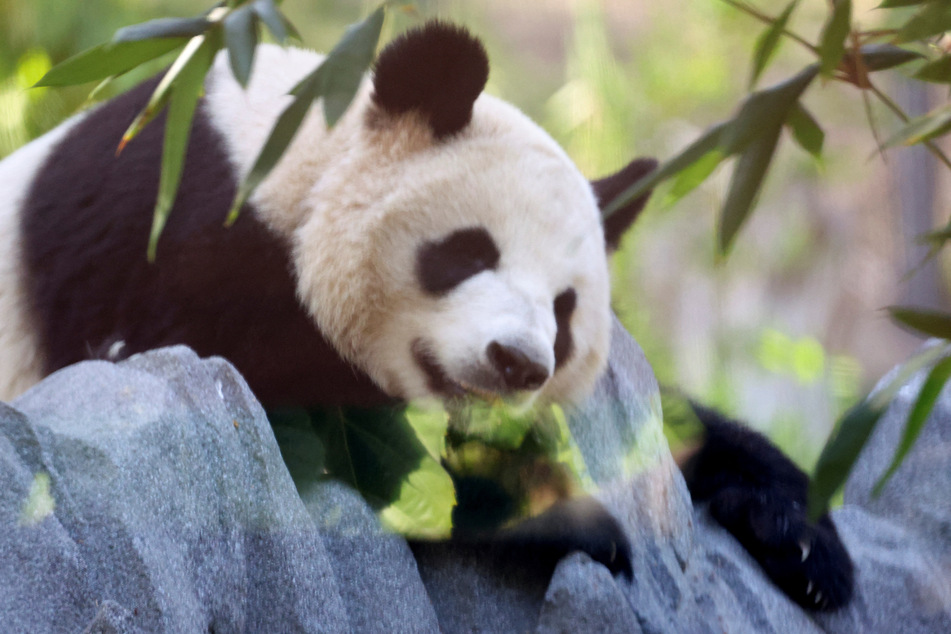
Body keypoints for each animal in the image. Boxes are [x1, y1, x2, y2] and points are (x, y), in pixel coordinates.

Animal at [0, 22, 856, 608]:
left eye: (565, 309)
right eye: (468, 252)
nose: (518, 363)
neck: (296, 151)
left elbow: (678, 428)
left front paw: (802, 541)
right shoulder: (158, 223)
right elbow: (259, 389)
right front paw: (560, 516)